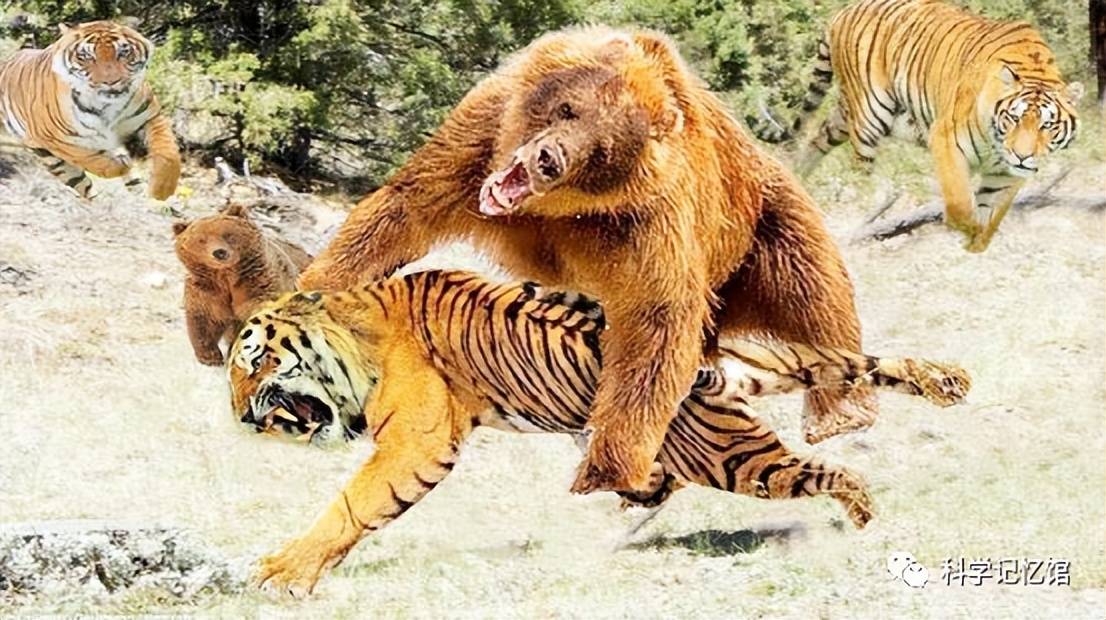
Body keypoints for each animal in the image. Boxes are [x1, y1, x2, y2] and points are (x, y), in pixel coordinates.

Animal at [0, 20, 180, 200]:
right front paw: (119, 166)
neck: (106, 105)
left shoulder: (150, 115)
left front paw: (163, 188)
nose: (111, 81)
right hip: (55, 162)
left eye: (123, 52)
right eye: (86, 56)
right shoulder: (54, 139)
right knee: (88, 190)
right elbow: (89, 159)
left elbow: (168, 152)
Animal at [173, 204, 313, 366]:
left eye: (227, 234)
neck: (226, 276)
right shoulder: (208, 290)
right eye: (202, 240)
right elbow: (206, 317)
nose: (219, 252)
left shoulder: (257, 285)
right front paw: (210, 355)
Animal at [225, 269, 971, 596]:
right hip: (765, 366)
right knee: (858, 364)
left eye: (254, 360)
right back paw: (950, 380)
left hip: (736, 458)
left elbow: (352, 506)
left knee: (827, 472)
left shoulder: (418, 442)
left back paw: (862, 519)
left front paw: (282, 573)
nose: (240, 418)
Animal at [297, 26, 874, 495]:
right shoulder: (481, 137)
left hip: (765, 227)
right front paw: (311, 295)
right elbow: (405, 208)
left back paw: (840, 415)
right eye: (568, 108)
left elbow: (656, 322)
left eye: (602, 150)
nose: (549, 158)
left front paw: (607, 468)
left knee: (814, 294)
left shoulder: (649, 221)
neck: (555, 211)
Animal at [750, 0, 1083, 253]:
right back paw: (866, 212)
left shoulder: (1005, 174)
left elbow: (991, 209)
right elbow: (961, 202)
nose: (1022, 156)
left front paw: (977, 244)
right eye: (1013, 118)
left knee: (818, 137)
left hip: (847, 113)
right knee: (860, 170)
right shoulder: (947, 140)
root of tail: (843, 11)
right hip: (870, 113)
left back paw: (796, 181)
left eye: (1048, 126)